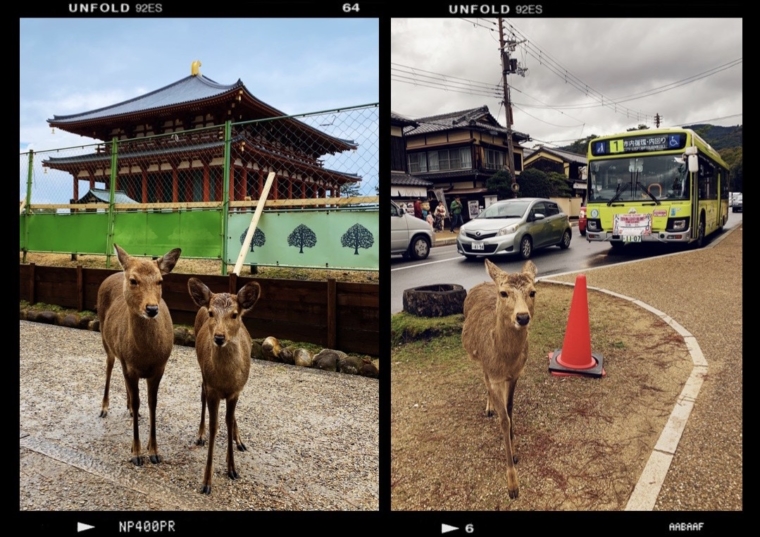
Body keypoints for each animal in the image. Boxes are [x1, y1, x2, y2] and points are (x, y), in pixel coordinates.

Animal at [96, 243, 181, 464]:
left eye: (160, 280)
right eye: (134, 280)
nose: (151, 309)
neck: (145, 355)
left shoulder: (159, 368)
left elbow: (152, 404)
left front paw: (154, 451)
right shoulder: (130, 366)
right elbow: (138, 401)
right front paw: (136, 453)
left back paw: (129, 409)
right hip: (105, 339)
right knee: (109, 366)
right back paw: (104, 408)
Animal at [187, 278, 262, 492]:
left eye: (234, 314)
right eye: (212, 312)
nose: (219, 337)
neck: (225, 379)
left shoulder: (235, 391)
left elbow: (228, 422)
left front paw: (232, 469)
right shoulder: (212, 389)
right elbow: (215, 426)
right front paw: (206, 481)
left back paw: (239, 441)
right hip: (202, 372)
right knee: (201, 395)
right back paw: (200, 435)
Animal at [460, 258, 536, 498]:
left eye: (533, 291)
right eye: (503, 293)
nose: (522, 317)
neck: (505, 360)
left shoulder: (515, 375)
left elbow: (510, 410)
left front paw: (515, 450)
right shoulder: (494, 375)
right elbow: (504, 420)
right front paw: (513, 485)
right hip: (479, 360)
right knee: (483, 377)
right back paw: (489, 407)